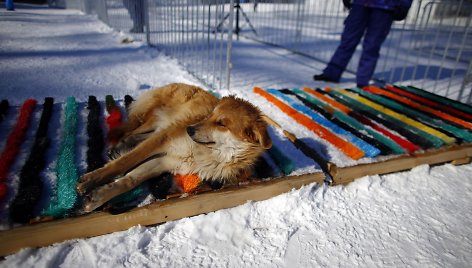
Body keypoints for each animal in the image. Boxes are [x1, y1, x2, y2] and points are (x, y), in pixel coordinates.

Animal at [75, 82, 272, 213]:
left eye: (222, 123)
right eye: (210, 115)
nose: (189, 129)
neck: (205, 152)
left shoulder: (166, 161)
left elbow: (129, 180)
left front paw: (97, 197)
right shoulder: (162, 140)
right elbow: (124, 163)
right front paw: (91, 180)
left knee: (139, 135)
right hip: (158, 120)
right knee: (134, 131)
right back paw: (122, 145)